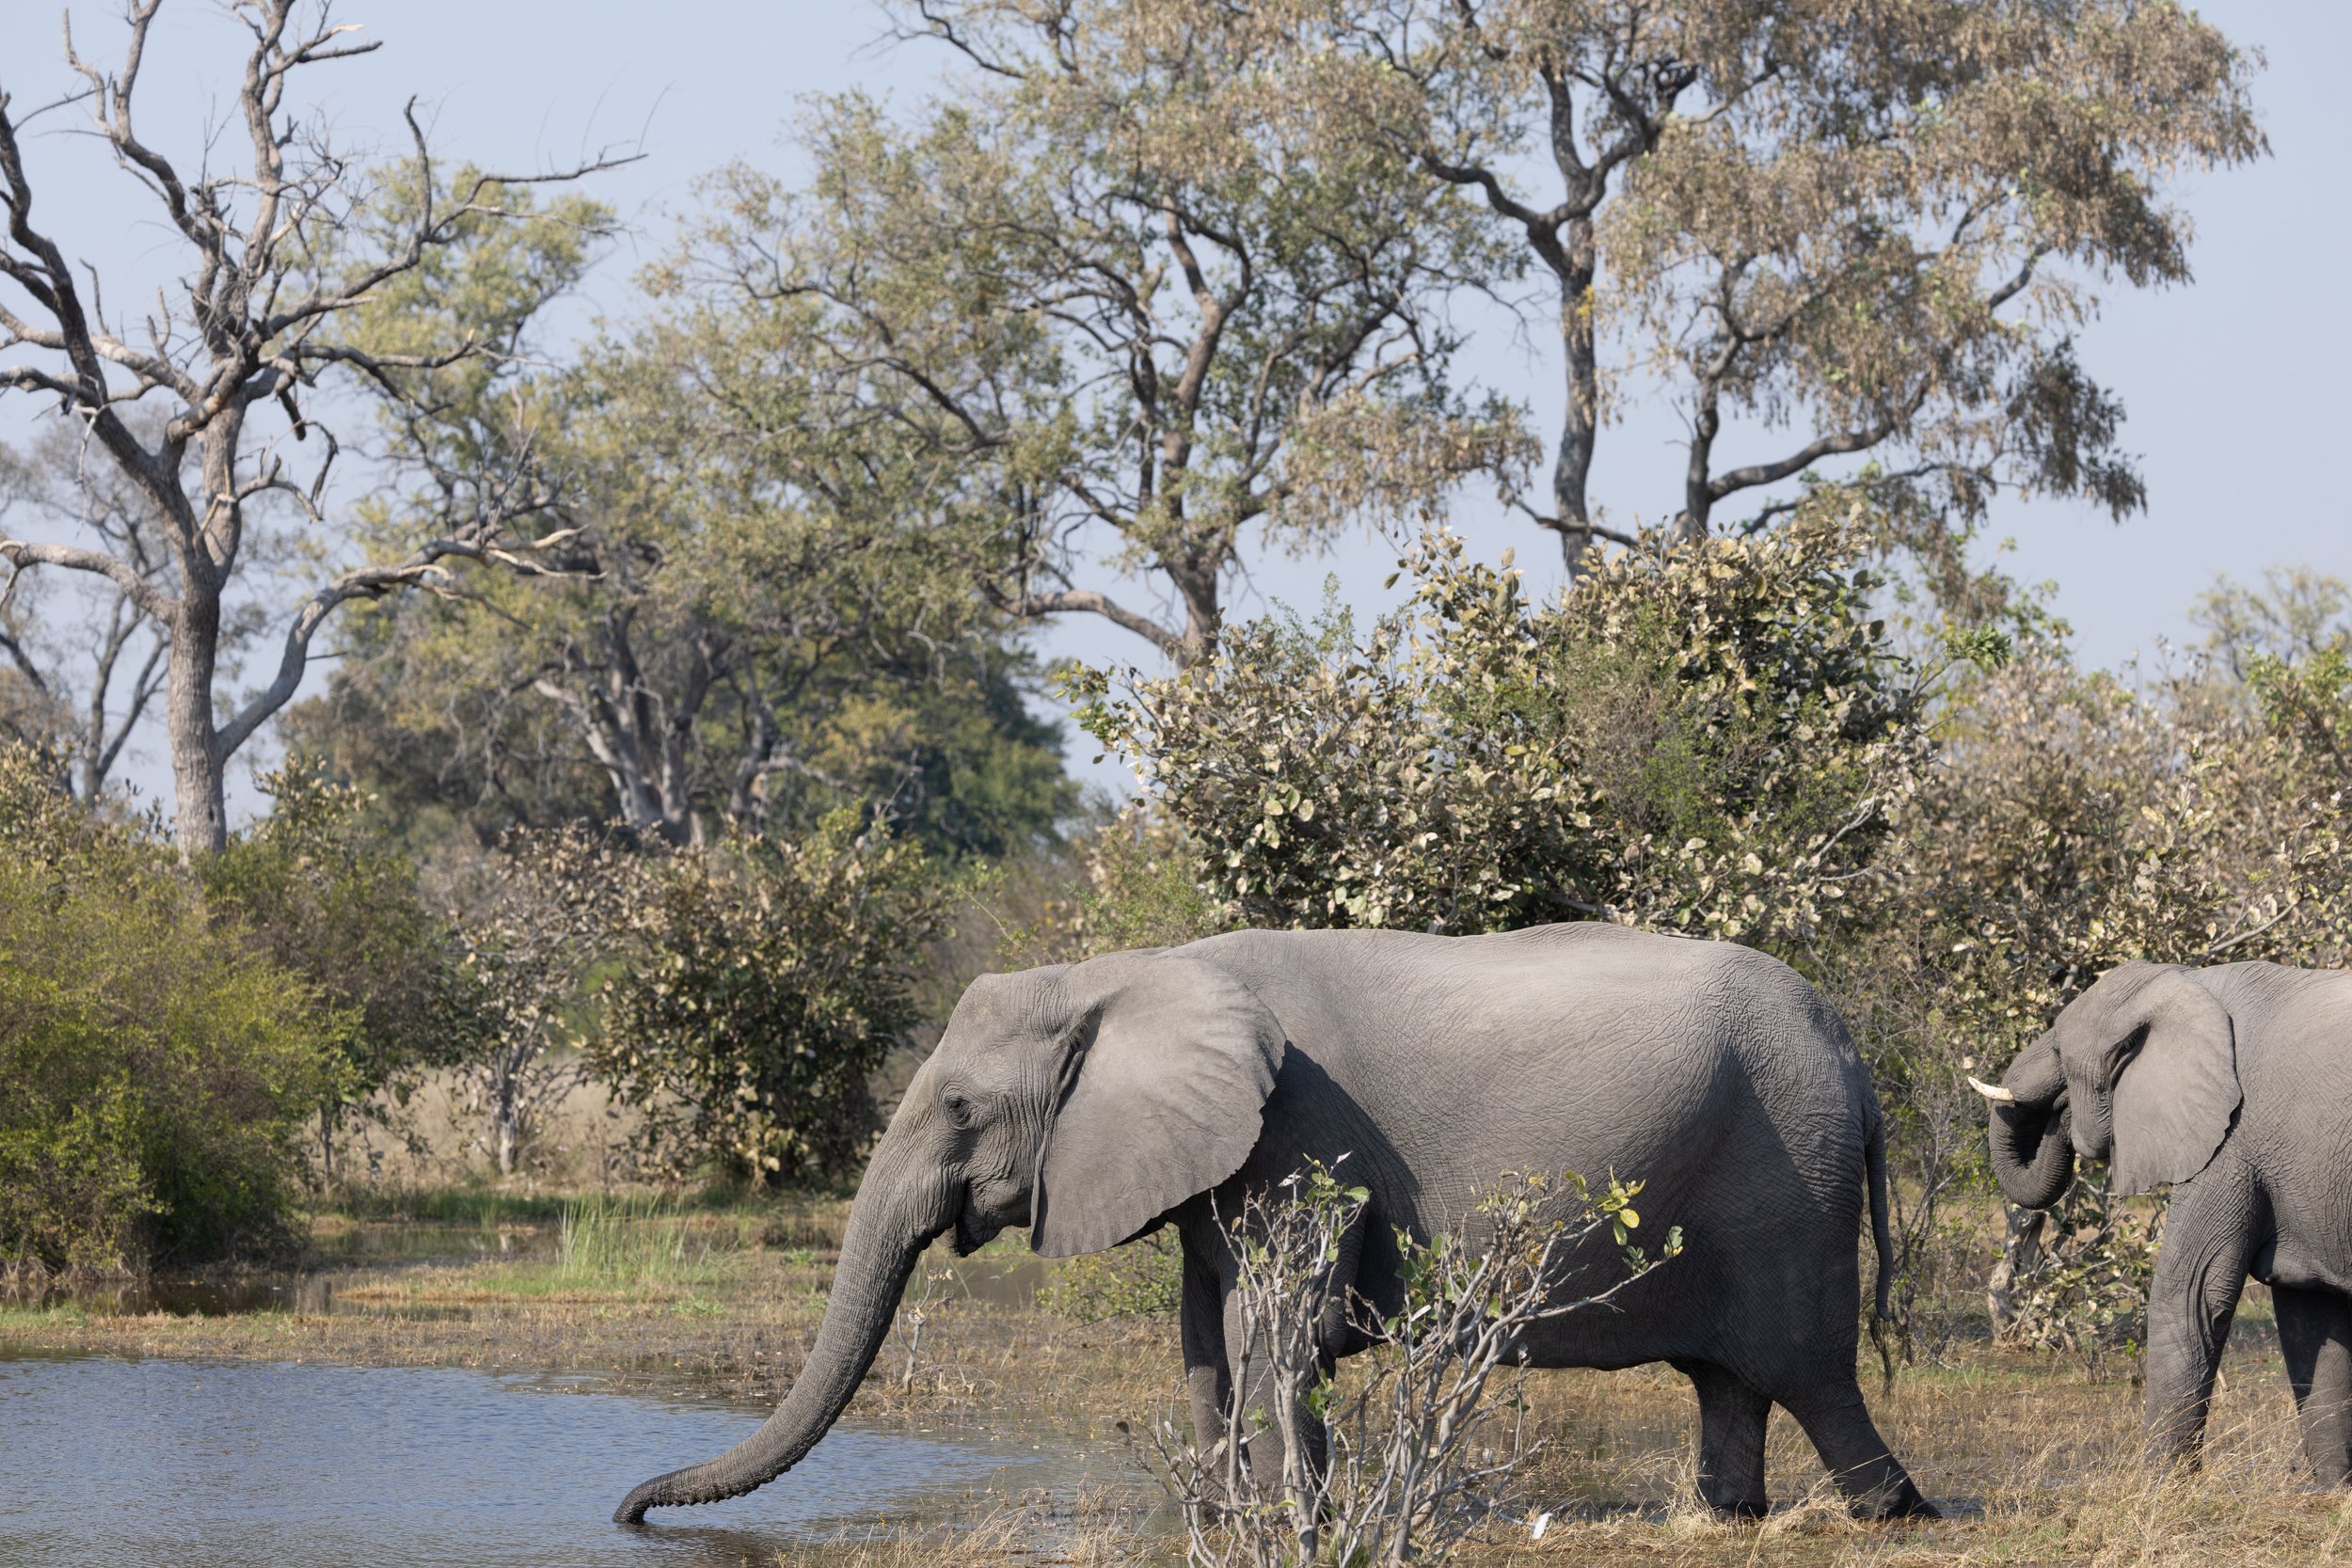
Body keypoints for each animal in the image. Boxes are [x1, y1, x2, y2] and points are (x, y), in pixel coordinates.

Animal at [615, 923, 1933, 1524]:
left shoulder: (1299, 1132)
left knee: (1809, 1373)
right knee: (1730, 1380)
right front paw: (1225, 1516)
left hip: (1788, 1180)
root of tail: (1854, 1050)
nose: (626, 1513)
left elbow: (1277, 1327)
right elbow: (1205, 1333)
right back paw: (1728, 1515)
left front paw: (1293, 1519)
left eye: (957, 1108)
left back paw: (1889, 1512)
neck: (1130, 971)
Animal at [1971, 960, 2352, 1480]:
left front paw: (2158, 1487)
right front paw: (2329, 1490)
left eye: (2059, 1049)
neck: (2186, 982)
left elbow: (2189, 1295)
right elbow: (2312, 1315)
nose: (2062, 1113)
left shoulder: (2230, 1139)